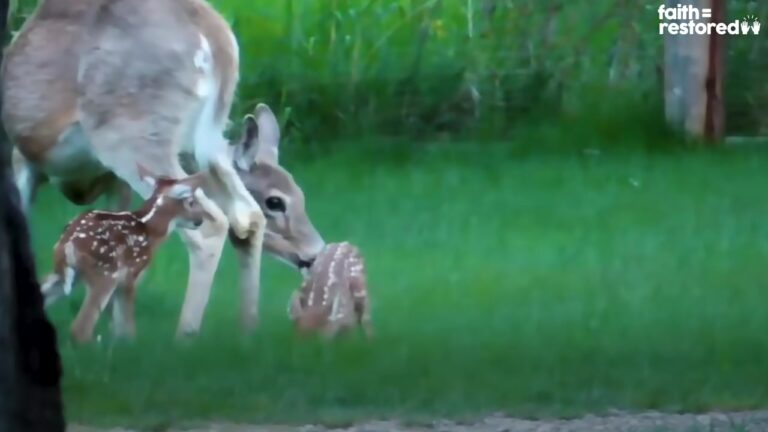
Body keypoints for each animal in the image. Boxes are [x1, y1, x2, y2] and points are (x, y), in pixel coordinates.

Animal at [41, 166, 215, 343]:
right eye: (191, 201)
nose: (199, 220)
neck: (150, 229)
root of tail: (66, 243)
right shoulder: (131, 273)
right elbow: (127, 323)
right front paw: (131, 343)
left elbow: (119, 324)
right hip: (105, 272)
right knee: (80, 328)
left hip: (67, 273)